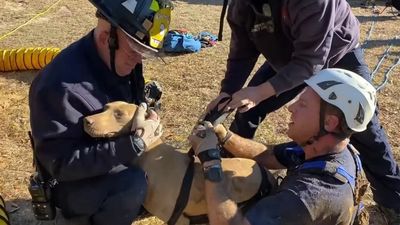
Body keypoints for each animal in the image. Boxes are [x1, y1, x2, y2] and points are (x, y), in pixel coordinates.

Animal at [83, 102, 274, 225]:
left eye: (119, 114)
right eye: (105, 108)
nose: (86, 120)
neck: (151, 154)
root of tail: (268, 177)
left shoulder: (179, 220)